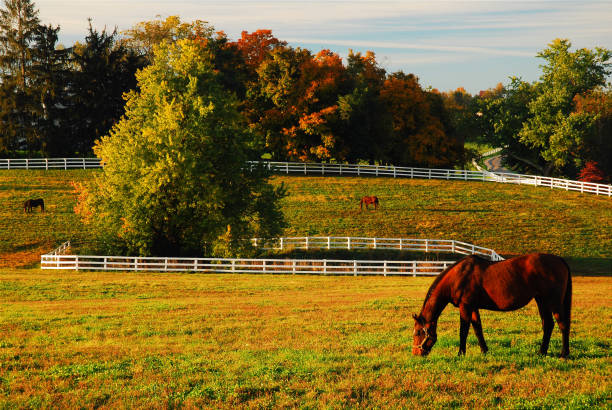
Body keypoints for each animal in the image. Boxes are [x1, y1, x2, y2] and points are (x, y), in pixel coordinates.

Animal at [414, 253, 572, 358]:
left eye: (418, 332)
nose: (415, 353)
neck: (458, 276)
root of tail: (559, 259)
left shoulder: (465, 307)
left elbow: (463, 331)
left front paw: (460, 353)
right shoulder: (473, 307)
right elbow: (478, 329)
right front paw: (484, 350)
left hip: (554, 302)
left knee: (562, 324)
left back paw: (564, 354)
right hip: (542, 301)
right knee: (548, 325)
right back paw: (542, 352)